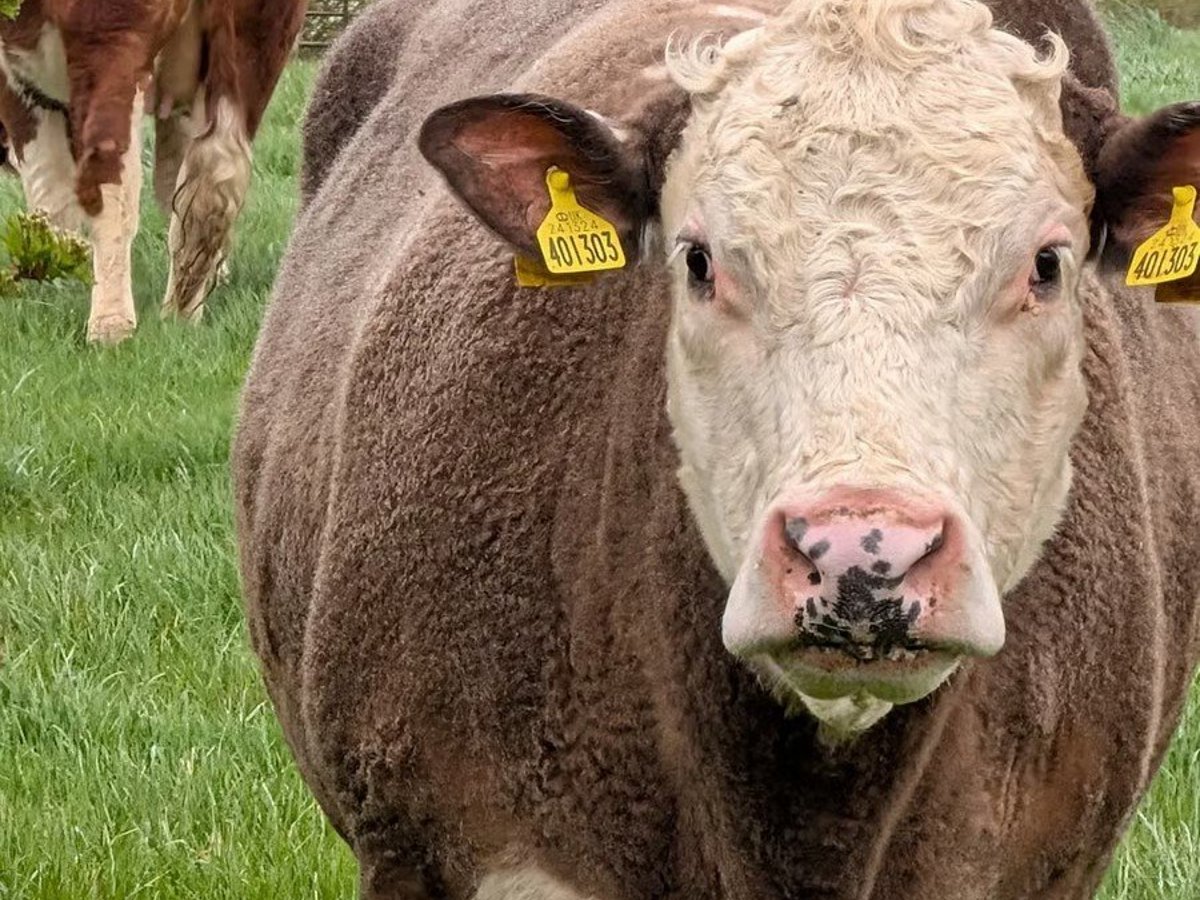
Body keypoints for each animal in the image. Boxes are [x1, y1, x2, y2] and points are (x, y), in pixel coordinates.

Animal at [0, 1, 307, 344]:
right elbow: (173, 179)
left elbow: (50, 196)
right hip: (259, 42)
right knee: (207, 187)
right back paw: (181, 313)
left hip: (111, 44)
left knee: (112, 194)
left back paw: (110, 328)